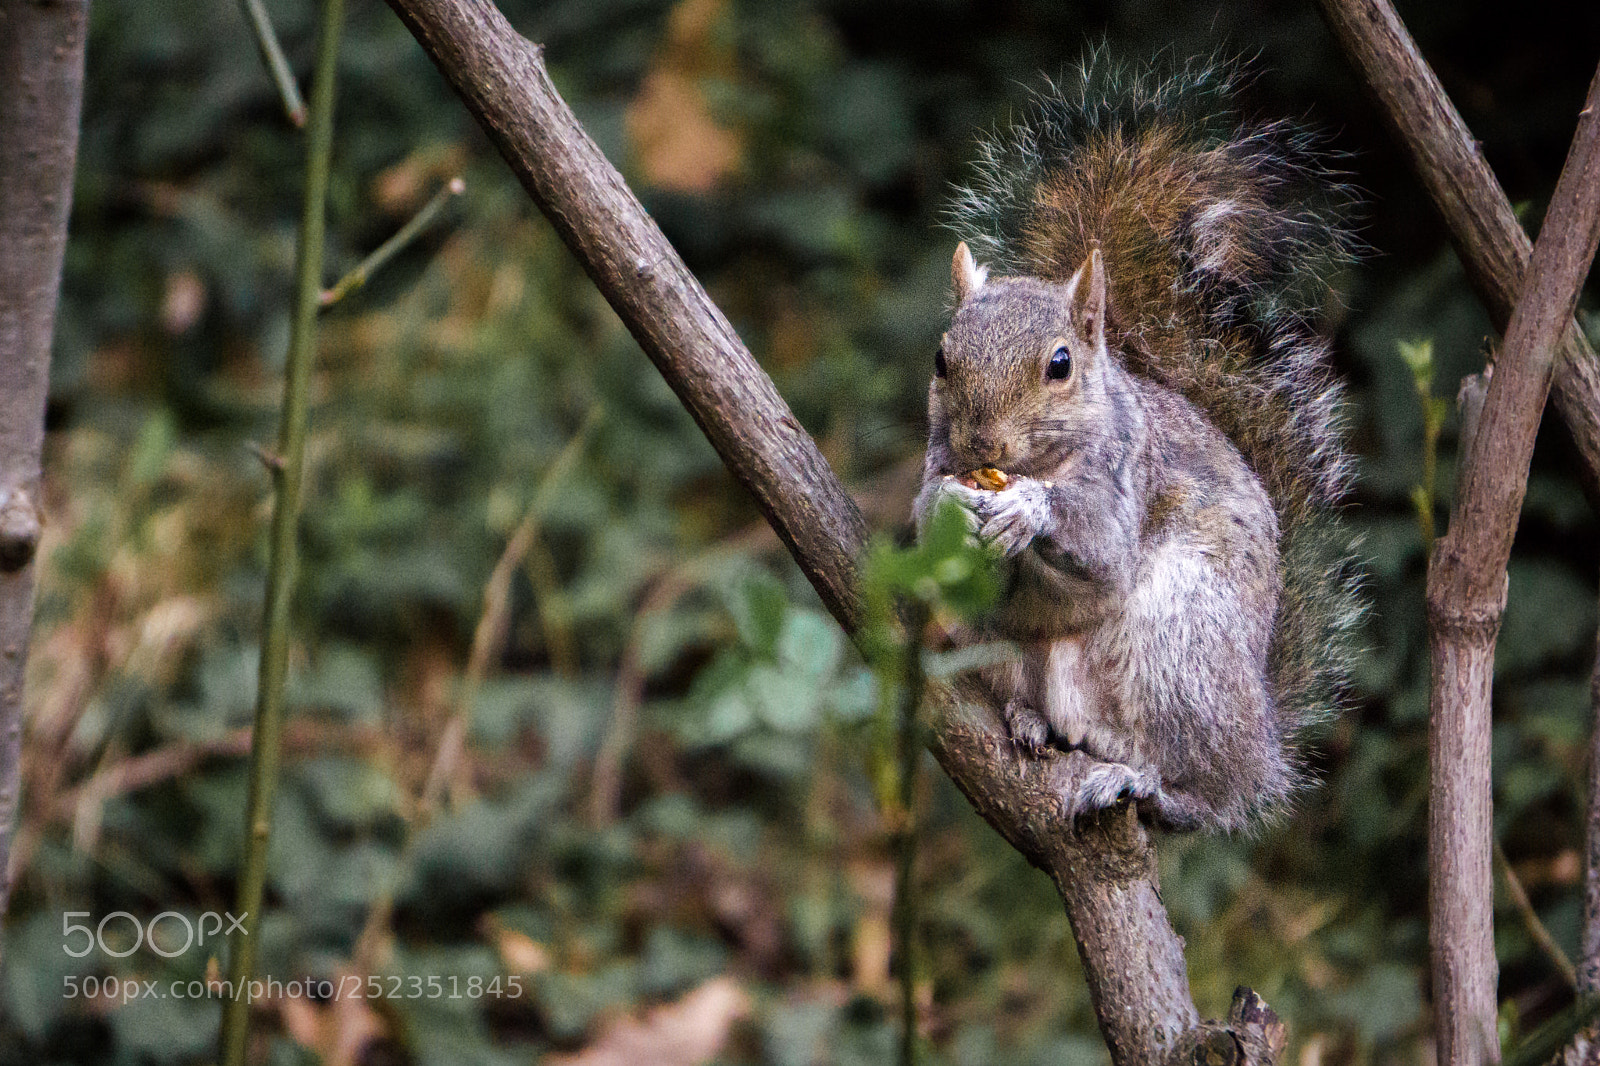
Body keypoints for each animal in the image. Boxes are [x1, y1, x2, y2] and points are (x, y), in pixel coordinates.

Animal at [913, 55, 1362, 832]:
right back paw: (1029, 721)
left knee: (1206, 795)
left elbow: (1101, 547)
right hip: (996, 649)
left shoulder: (1129, 479)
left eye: (1060, 364)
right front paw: (950, 504)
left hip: (1181, 649)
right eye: (942, 359)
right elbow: (923, 527)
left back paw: (1150, 783)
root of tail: (1265, 740)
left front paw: (1030, 508)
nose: (981, 444)